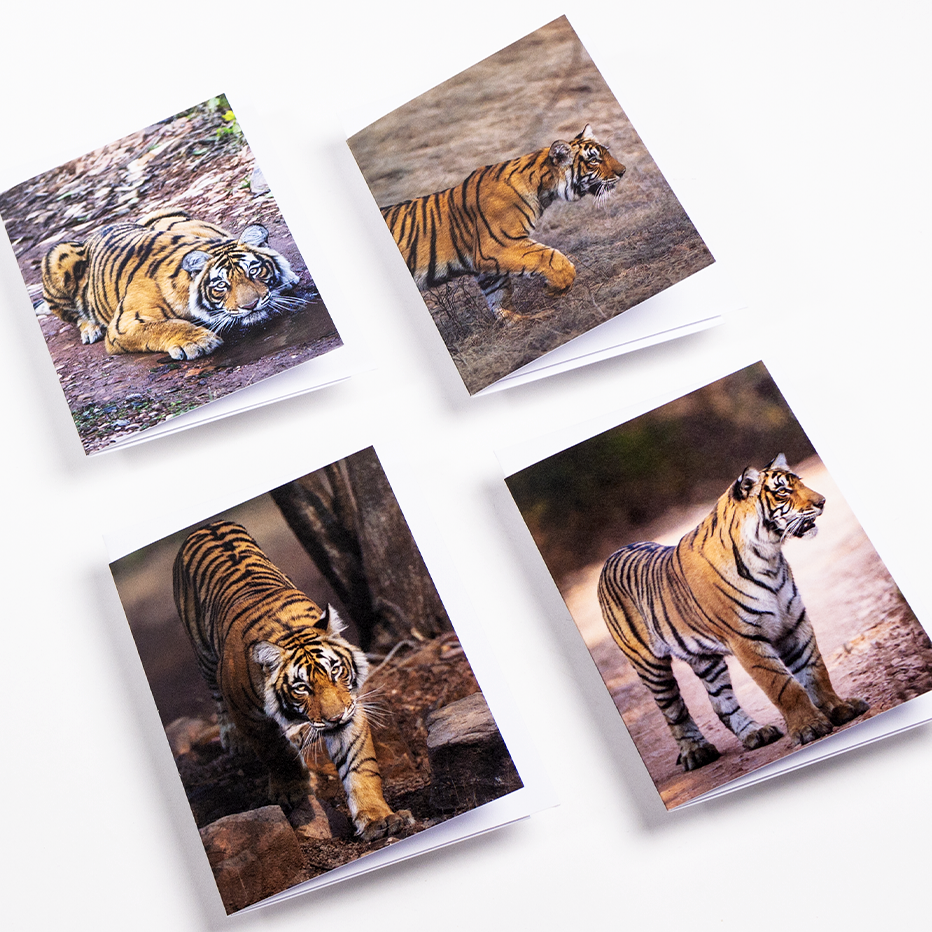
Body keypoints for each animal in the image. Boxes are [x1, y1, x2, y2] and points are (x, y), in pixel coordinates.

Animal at [40, 208, 300, 359]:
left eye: (254, 271)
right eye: (221, 286)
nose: (251, 306)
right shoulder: (124, 324)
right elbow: (163, 326)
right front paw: (198, 341)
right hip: (57, 256)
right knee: (75, 314)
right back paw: (90, 328)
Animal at [172, 519, 413, 841]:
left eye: (335, 671)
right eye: (302, 688)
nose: (335, 718)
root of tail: (208, 524)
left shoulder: (351, 706)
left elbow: (359, 764)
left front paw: (377, 818)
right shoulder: (250, 716)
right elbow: (276, 753)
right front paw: (292, 789)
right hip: (205, 655)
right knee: (215, 693)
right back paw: (234, 739)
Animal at [379, 124, 625, 324]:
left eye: (607, 153)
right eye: (594, 160)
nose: (623, 171)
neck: (544, 189)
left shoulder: (485, 265)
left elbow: (498, 295)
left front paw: (516, 320)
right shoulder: (498, 245)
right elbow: (551, 257)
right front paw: (555, 288)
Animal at [597, 454, 869, 772]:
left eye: (800, 483)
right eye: (783, 492)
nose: (823, 501)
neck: (769, 557)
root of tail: (610, 558)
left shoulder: (793, 622)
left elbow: (815, 671)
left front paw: (841, 709)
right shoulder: (745, 639)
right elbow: (783, 685)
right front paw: (809, 728)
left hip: (705, 659)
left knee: (720, 702)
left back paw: (756, 733)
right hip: (649, 665)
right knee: (674, 711)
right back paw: (696, 752)